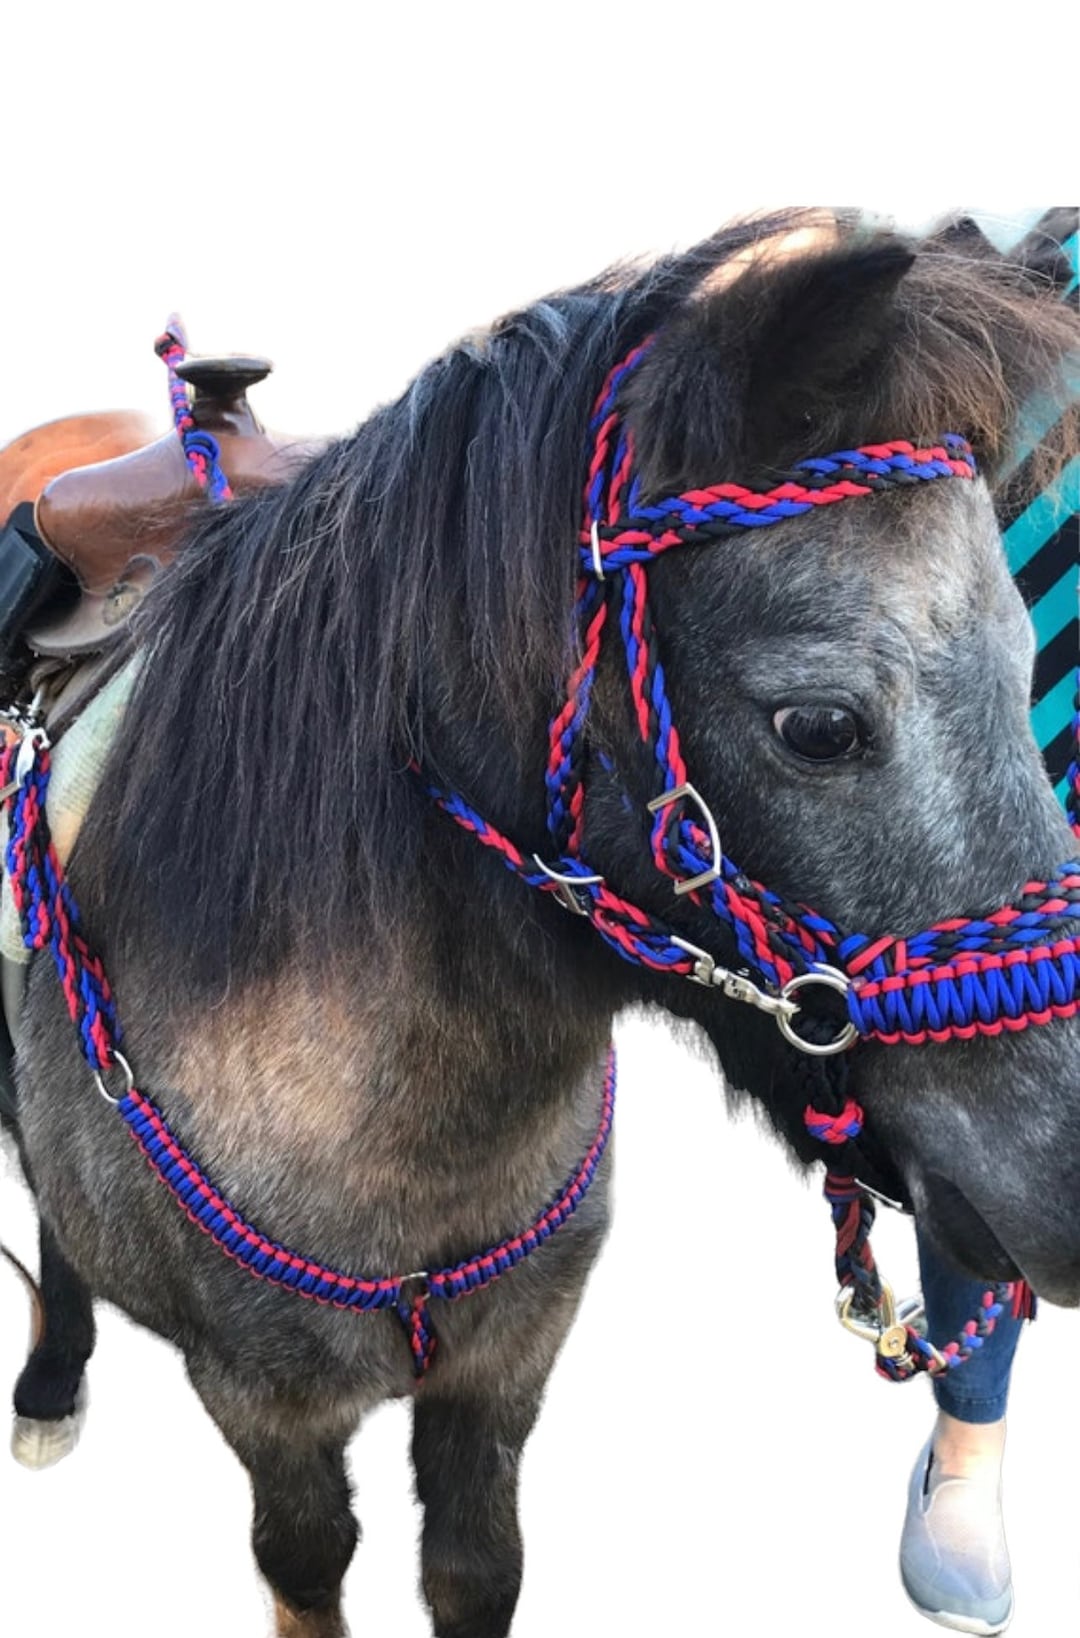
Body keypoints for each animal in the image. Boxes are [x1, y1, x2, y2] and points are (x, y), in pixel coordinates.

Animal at [4, 210, 1080, 1637]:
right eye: (819, 725)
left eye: (1028, 675)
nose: (1073, 1178)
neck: (407, 1136)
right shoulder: (268, 1406)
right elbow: (306, 1564)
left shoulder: (505, 1374)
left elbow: (478, 1569)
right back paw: (51, 1381)